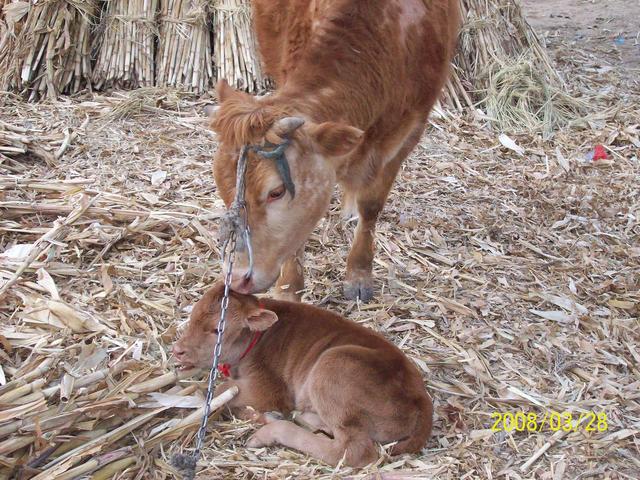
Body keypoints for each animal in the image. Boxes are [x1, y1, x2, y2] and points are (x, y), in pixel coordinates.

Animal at [174, 284, 436, 466]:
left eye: (217, 329)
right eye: (192, 316)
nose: (178, 350)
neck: (257, 338)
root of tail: (422, 398)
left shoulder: (268, 389)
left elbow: (220, 392)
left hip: (332, 366)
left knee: (353, 450)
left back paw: (269, 430)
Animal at [210, 0, 460, 300]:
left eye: (276, 192)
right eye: (221, 187)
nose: (236, 279)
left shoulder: (409, 132)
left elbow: (371, 206)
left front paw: (359, 274)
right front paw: (288, 288)